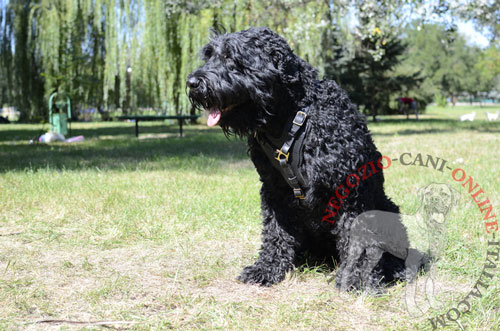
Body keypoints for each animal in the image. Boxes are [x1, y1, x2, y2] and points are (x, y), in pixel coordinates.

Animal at [188, 27, 422, 294]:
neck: (290, 118)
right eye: (209, 55)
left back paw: (396, 268)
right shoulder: (274, 190)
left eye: (230, 57)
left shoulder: (349, 190)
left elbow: (357, 238)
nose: (192, 82)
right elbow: (275, 232)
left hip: (387, 210)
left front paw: (357, 280)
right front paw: (266, 268)